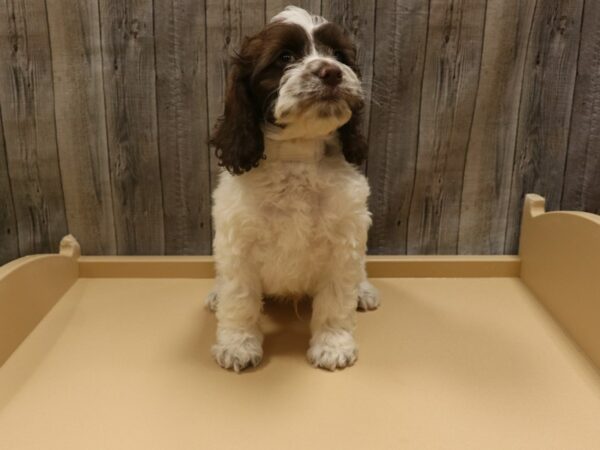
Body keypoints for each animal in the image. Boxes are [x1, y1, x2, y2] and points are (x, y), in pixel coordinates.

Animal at [206, 6, 380, 372]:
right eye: (285, 57)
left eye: (338, 55)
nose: (331, 72)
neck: (297, 158)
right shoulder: (237, 243)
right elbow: (239, 298)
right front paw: (237, 345)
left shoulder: (344, 240)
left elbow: (336, 298)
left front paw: (333, 344)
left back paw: (363, 290)